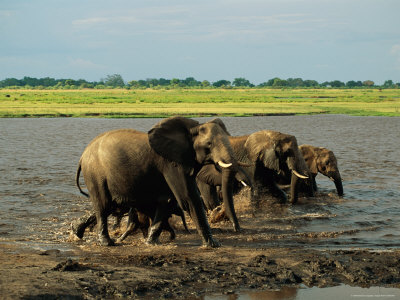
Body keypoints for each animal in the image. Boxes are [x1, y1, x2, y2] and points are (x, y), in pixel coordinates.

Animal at [74, 116, 241, 247]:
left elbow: (167, 200)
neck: (193, 128)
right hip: (95, 173)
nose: (236, 229)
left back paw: (76, 231)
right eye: (209, 145)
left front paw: (151, 242)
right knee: (103, 205)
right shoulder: (172, 163)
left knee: (111, 205)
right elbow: (187, 198)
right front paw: (213, 245)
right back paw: (107, 243)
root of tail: (82, 157)